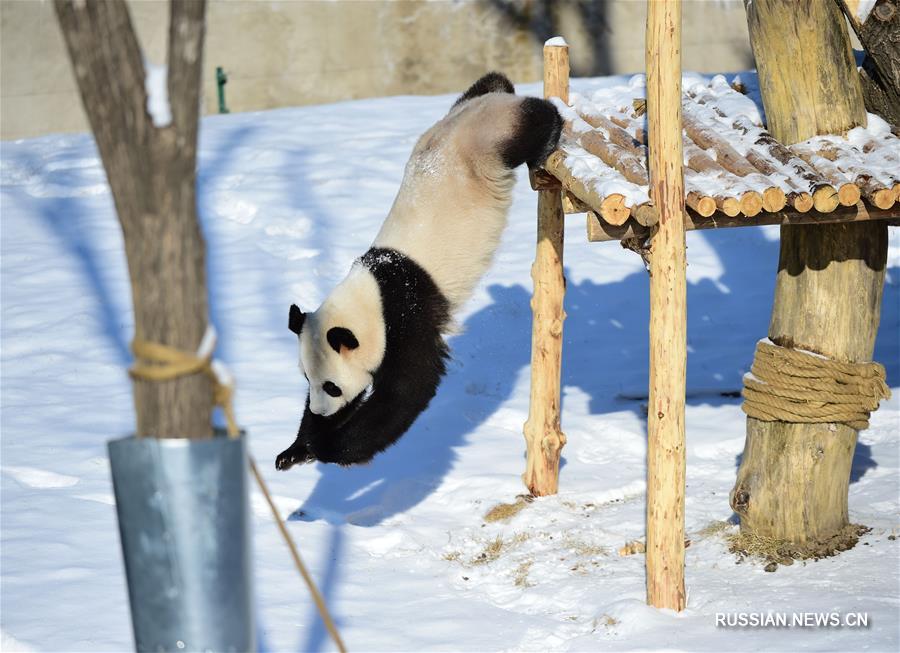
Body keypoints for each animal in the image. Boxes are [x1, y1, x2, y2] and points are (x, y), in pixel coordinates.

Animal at [276, 71, 564, 468]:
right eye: (307, 378)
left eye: (331, 386)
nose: (322, 411)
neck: (372, 288)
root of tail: (487, 107)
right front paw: (296, 448)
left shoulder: (405, 316)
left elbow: (408, 388)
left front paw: (330, 447)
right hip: (471, 109)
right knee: (491, 82)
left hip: (493, 138)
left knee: (533, 121)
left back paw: (550, 127)